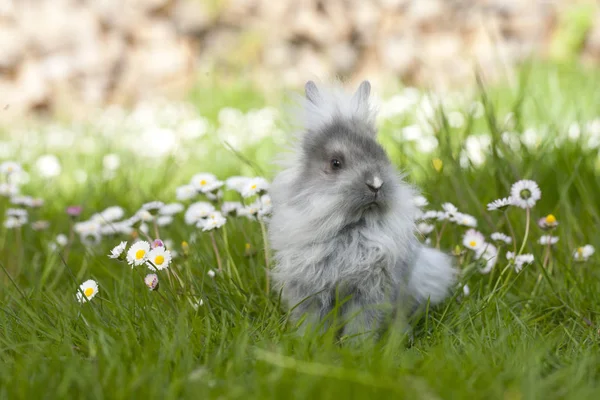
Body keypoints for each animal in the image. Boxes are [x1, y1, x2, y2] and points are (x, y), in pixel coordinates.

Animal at [264, 79, 458, 340]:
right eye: (336, 163)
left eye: (381, 153)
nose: (376, 184)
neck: (352, 227)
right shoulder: (310, 291)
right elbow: (313, 321)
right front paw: (310, 342)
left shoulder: (369, 291)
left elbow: (361, 323)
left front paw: (357, 346)